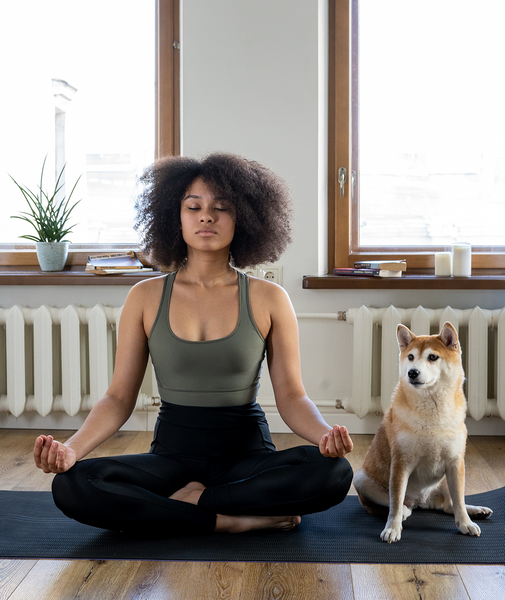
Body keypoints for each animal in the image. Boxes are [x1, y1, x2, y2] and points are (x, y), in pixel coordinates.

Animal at [352, 324, 490, 544]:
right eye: (410, 357)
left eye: (432, 357)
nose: (412, 372)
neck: (432, 412)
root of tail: (421, 502)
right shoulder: (401, 463)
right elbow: (395, 502)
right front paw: (392, 528)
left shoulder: (455, 462)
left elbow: (459, 500)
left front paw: (465, 523)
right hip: (361, 478)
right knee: (397, 505)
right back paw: (405, 511)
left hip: (446, 479)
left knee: (449, 505)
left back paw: (476, 511)